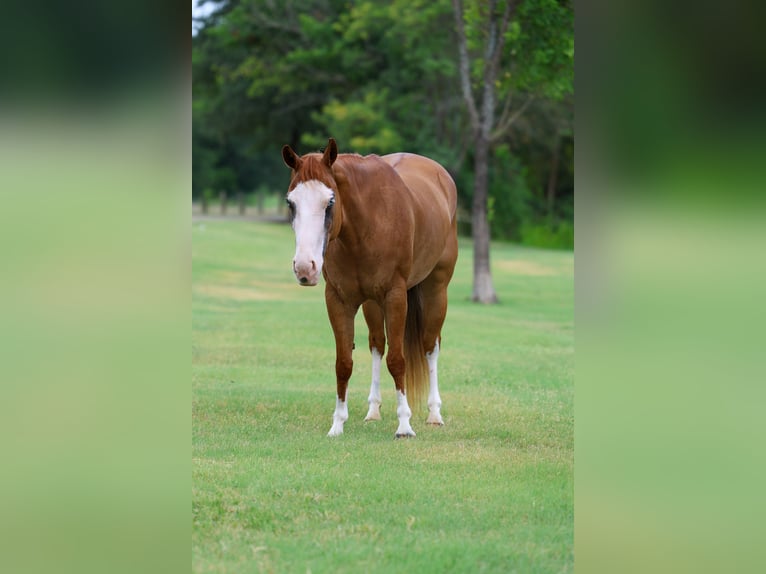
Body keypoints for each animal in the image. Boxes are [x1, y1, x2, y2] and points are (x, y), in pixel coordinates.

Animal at [281, 138, 458, 438]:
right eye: (291, 202)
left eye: (330, 201)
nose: (305, 268)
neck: (364, 226)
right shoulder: (339, 300)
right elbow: (344, 363)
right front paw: (337, 424)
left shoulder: (395, 297)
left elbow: (398, 361)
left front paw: (404, 425)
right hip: (372, 304)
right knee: (377, 344)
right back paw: (373, 410)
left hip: (436, 291)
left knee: (430, 345)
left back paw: (434, 413)